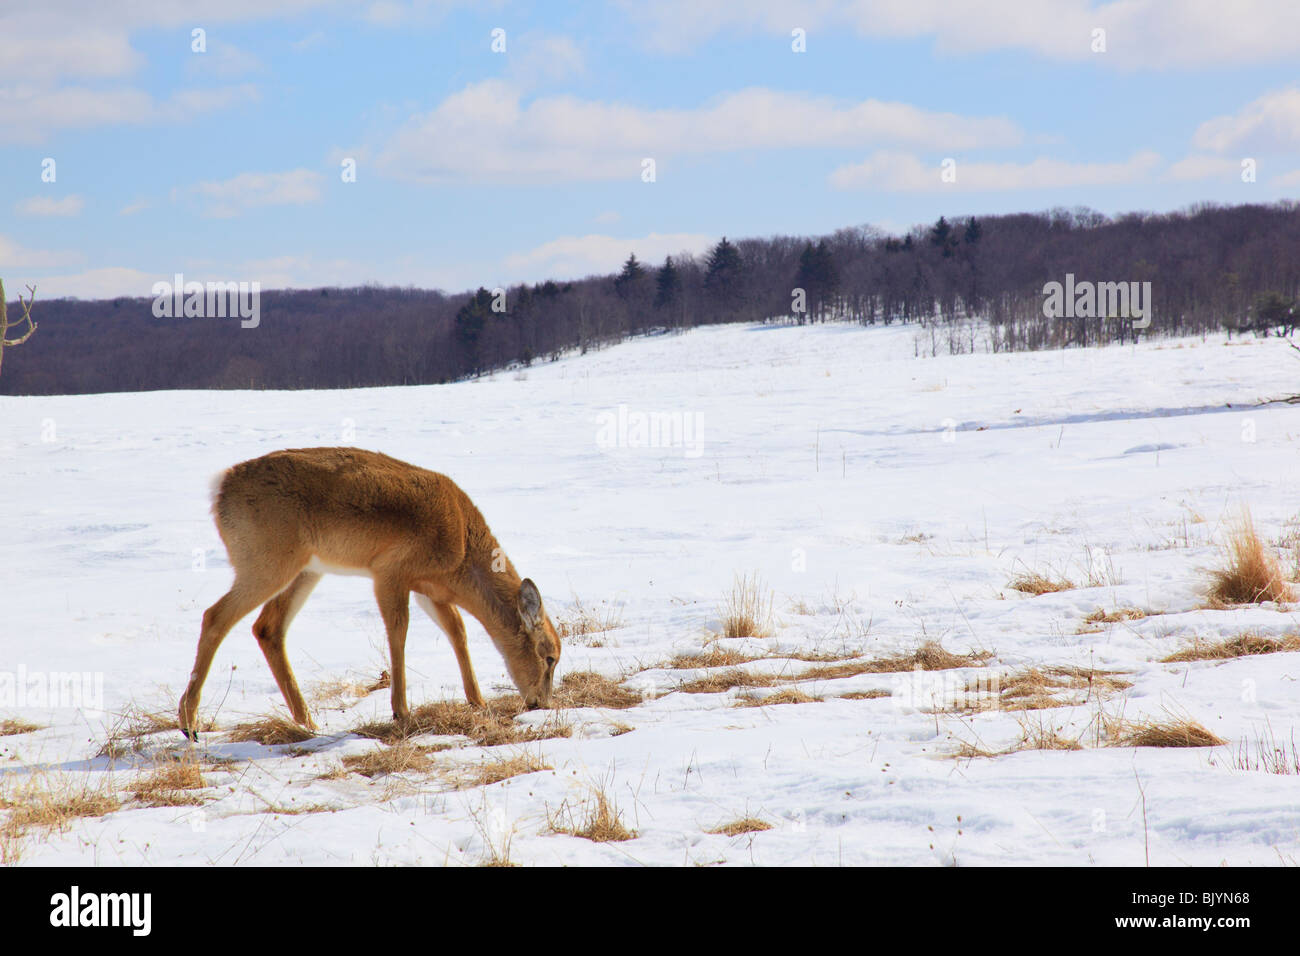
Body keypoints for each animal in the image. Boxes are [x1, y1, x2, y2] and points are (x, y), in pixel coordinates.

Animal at [175, 447, 561, 738]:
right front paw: (401, 711)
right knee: (215, 616)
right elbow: (399, 632)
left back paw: (308, 721)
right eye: (550, 657)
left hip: (305, 569)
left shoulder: (429, 590)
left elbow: (457, 631)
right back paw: (189, 723)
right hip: (267, 562)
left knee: (268, 627)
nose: (541, 703)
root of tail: (219, 488)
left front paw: (477, 701)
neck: (463, 551)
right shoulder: (390, 571)